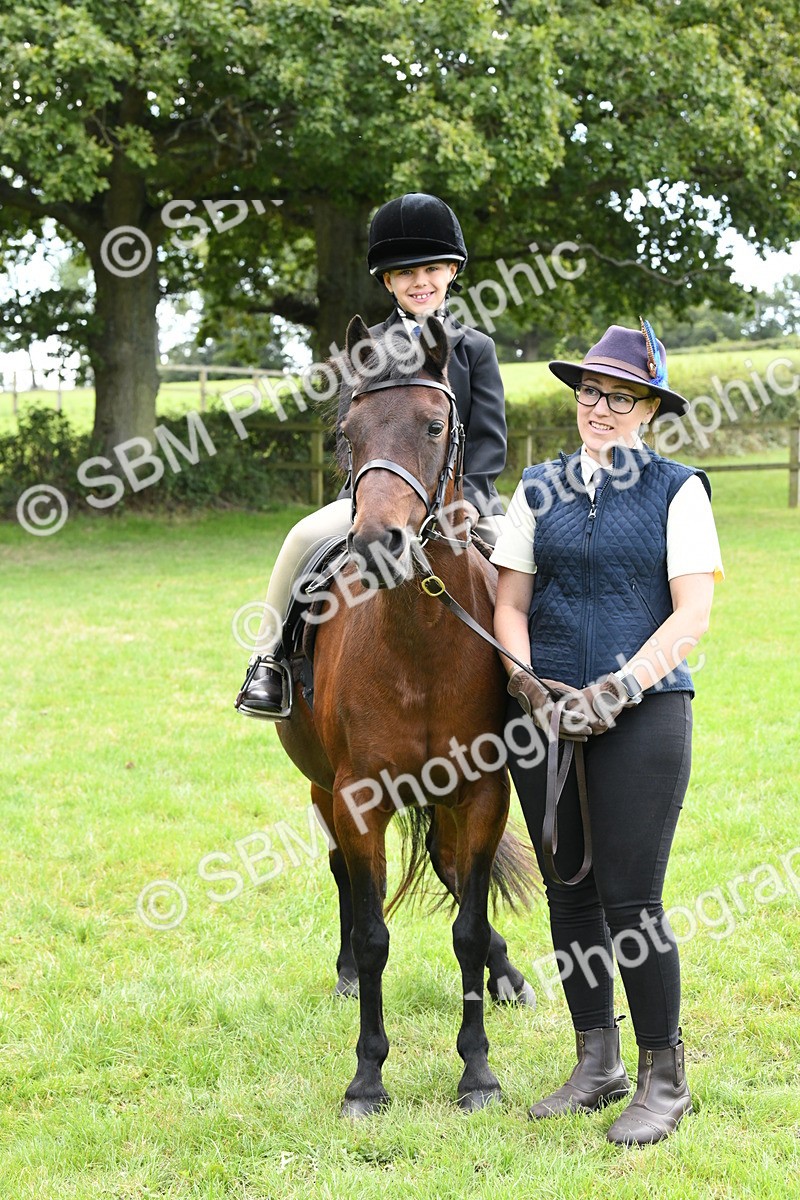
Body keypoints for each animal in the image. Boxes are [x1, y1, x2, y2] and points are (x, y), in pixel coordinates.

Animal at [277, 314, 538, 1117]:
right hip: (322, 787)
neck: (420, 643)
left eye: (434, 423)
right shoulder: (360, 798)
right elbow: (373, 935)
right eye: (346, 433)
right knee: (341, 873)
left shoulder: (482, 793)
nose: (379, 545)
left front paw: (478, 1072)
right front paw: (367, 1078)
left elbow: (469, 926)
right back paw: (344, 978)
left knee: (453, 877)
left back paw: (508, 978)